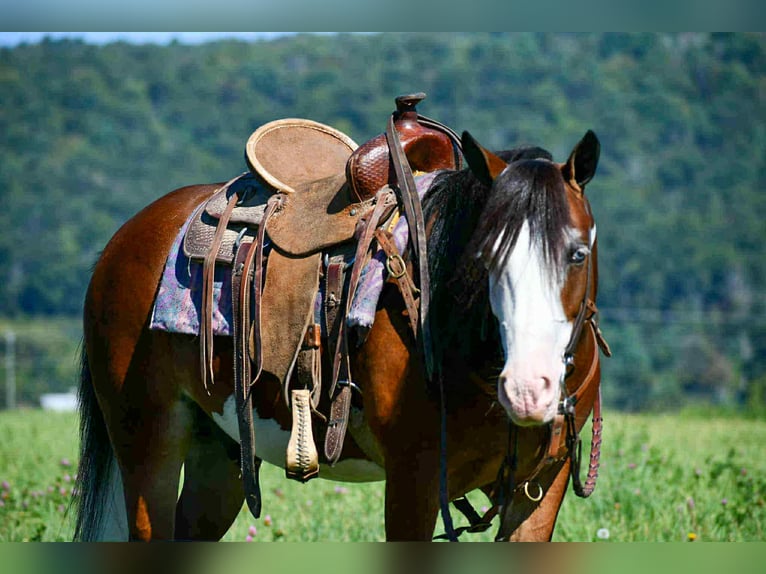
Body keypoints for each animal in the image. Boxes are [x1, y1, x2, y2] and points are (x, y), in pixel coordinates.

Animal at [73, 127, 607, 542]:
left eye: (577, 254)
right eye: (484, 256)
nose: (527, 390)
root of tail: (122, 240)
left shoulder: (540, 489)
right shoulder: (412, 481)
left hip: (219, 455)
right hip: (148, 444)